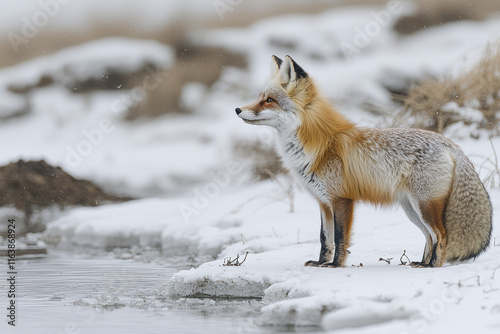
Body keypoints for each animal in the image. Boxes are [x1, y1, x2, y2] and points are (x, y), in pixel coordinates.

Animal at [234, 55, 492, 268]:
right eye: (260, 97)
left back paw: (433, 267)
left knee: (441, 234)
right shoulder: (323, 202)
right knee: (429, 236)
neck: (317, 145)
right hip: (412, 209)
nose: (237, 109)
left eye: (269, 100)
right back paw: (422, 262)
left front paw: (335, 266)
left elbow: (340, 238)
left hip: (425, 205)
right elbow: (324, 238)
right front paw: (320, 263)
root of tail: (451, 144)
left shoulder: (341, 199)